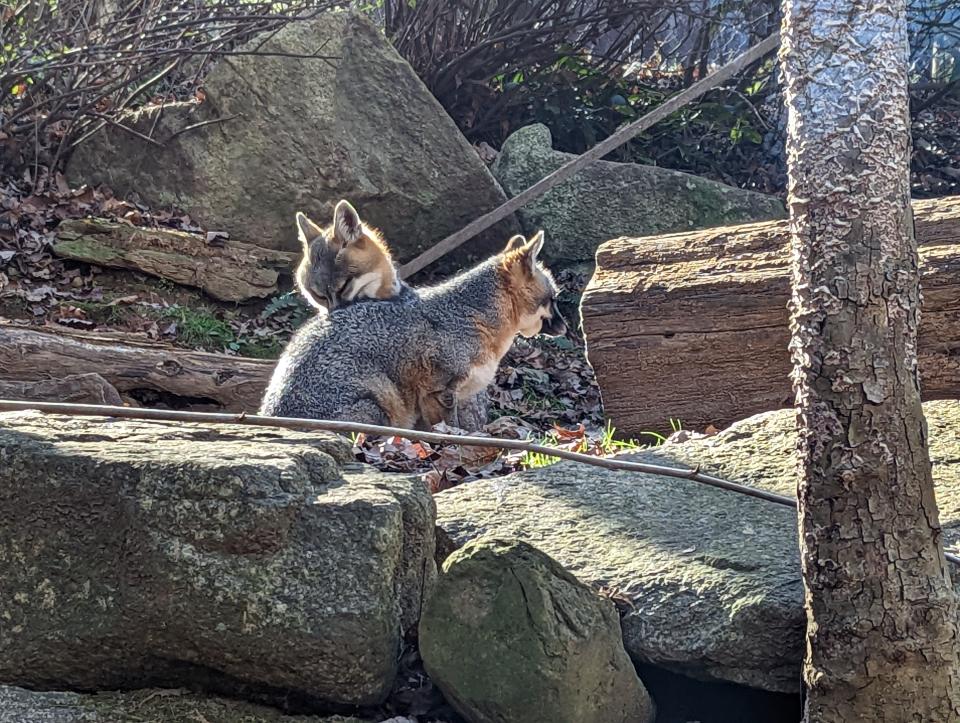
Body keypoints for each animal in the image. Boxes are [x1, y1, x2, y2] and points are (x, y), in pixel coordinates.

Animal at [258, 228, 568, 430]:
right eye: (553, 300)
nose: (566, 327)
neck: (469, 315)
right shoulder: (439, 391)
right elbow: (452, 431)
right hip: (380, 403)